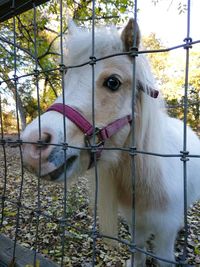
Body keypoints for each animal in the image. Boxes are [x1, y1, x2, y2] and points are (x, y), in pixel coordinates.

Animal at [22, 19, 200, 267]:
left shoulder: (166, 235)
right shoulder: (136, 226)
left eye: (113, 82)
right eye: (66, 78)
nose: (32, 146)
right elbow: (138, 254)